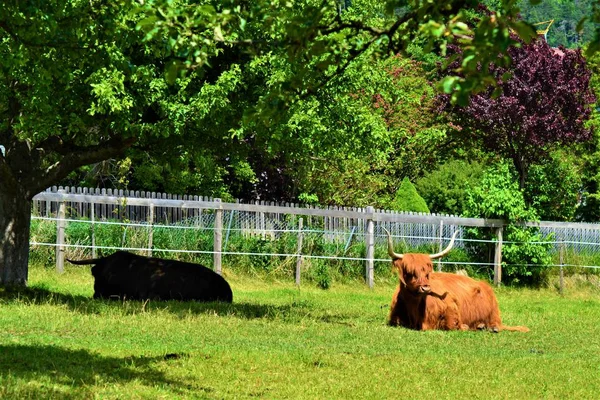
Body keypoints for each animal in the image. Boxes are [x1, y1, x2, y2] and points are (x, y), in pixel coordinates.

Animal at [386, 230, 528, 332]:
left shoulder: (450, 304)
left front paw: (464, 326)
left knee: (495, 324)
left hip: (493, 314)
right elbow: (397, 322)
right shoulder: (394, 318)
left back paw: (488, 327)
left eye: (427, 273)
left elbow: (452, 324)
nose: (425, 288)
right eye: (410, 273)